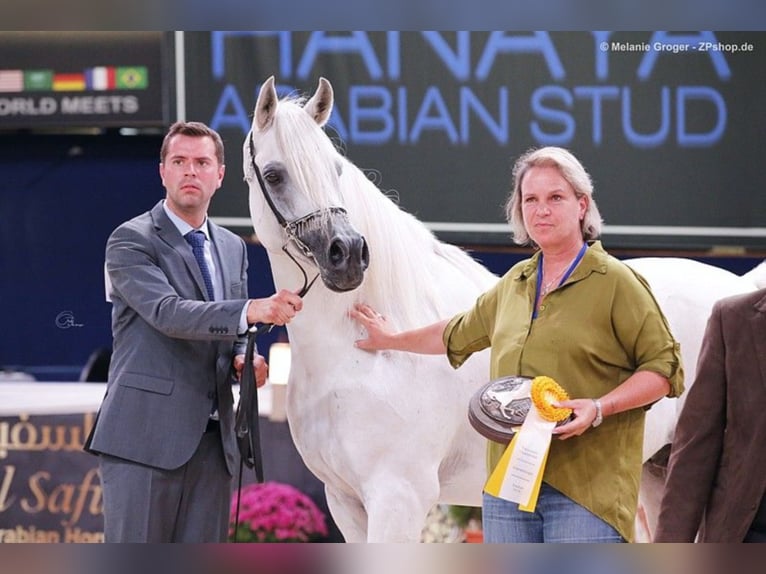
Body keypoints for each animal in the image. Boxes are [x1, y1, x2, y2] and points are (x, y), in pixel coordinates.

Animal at [244, 76, 756, 544]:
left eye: (335, 170)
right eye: (274, 175)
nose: (348, 254)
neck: (362, 355)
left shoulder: (398, 497)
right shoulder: (345, 502)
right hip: (658, 476)